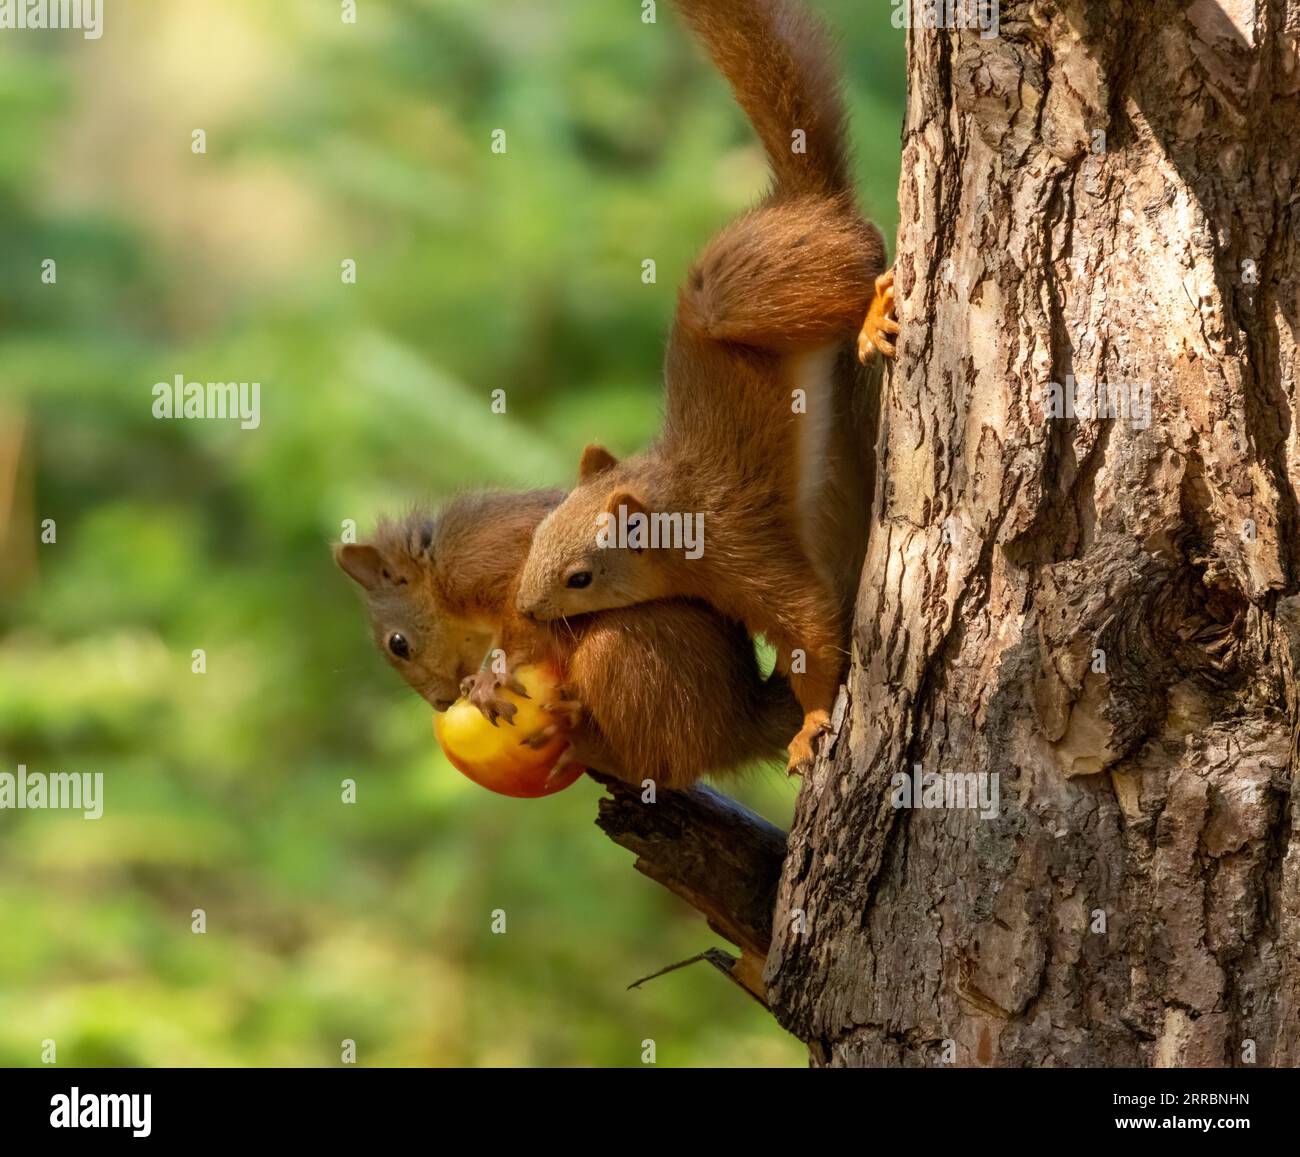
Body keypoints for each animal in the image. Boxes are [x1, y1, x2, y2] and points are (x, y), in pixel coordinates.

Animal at [332, 483, 800, 790]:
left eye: (398, 644)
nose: (443, 703)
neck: (436, 570)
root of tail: (739, 724)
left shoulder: (499, 571)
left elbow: (520, 636)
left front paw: (488, 680)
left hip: (619, 656)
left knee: (663, 769)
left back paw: (588, 744)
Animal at [512, 2, 899, 774]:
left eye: (581, 578)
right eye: (537, 534)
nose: (527, 612)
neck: (675, 516)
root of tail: (802, 199)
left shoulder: (739, 549)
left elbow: (810, 624)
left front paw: (812, 723)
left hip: (752, 293)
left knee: (863, 259)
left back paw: (875, 314)